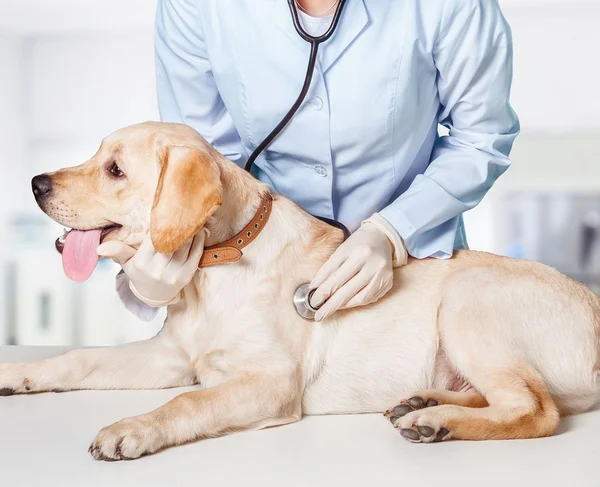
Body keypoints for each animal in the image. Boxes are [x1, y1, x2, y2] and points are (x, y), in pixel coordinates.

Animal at [2, 123, 596, 462]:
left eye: (115, 170)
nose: (35, 184)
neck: (217, 266)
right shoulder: (172, 355)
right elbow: (79, 358)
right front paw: (18, 372)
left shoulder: (269, 382)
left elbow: (189, 401)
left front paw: (134, 428)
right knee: (509, 396)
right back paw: (424, 403)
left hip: (467, 299)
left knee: (536, 409)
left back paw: (436, 422)